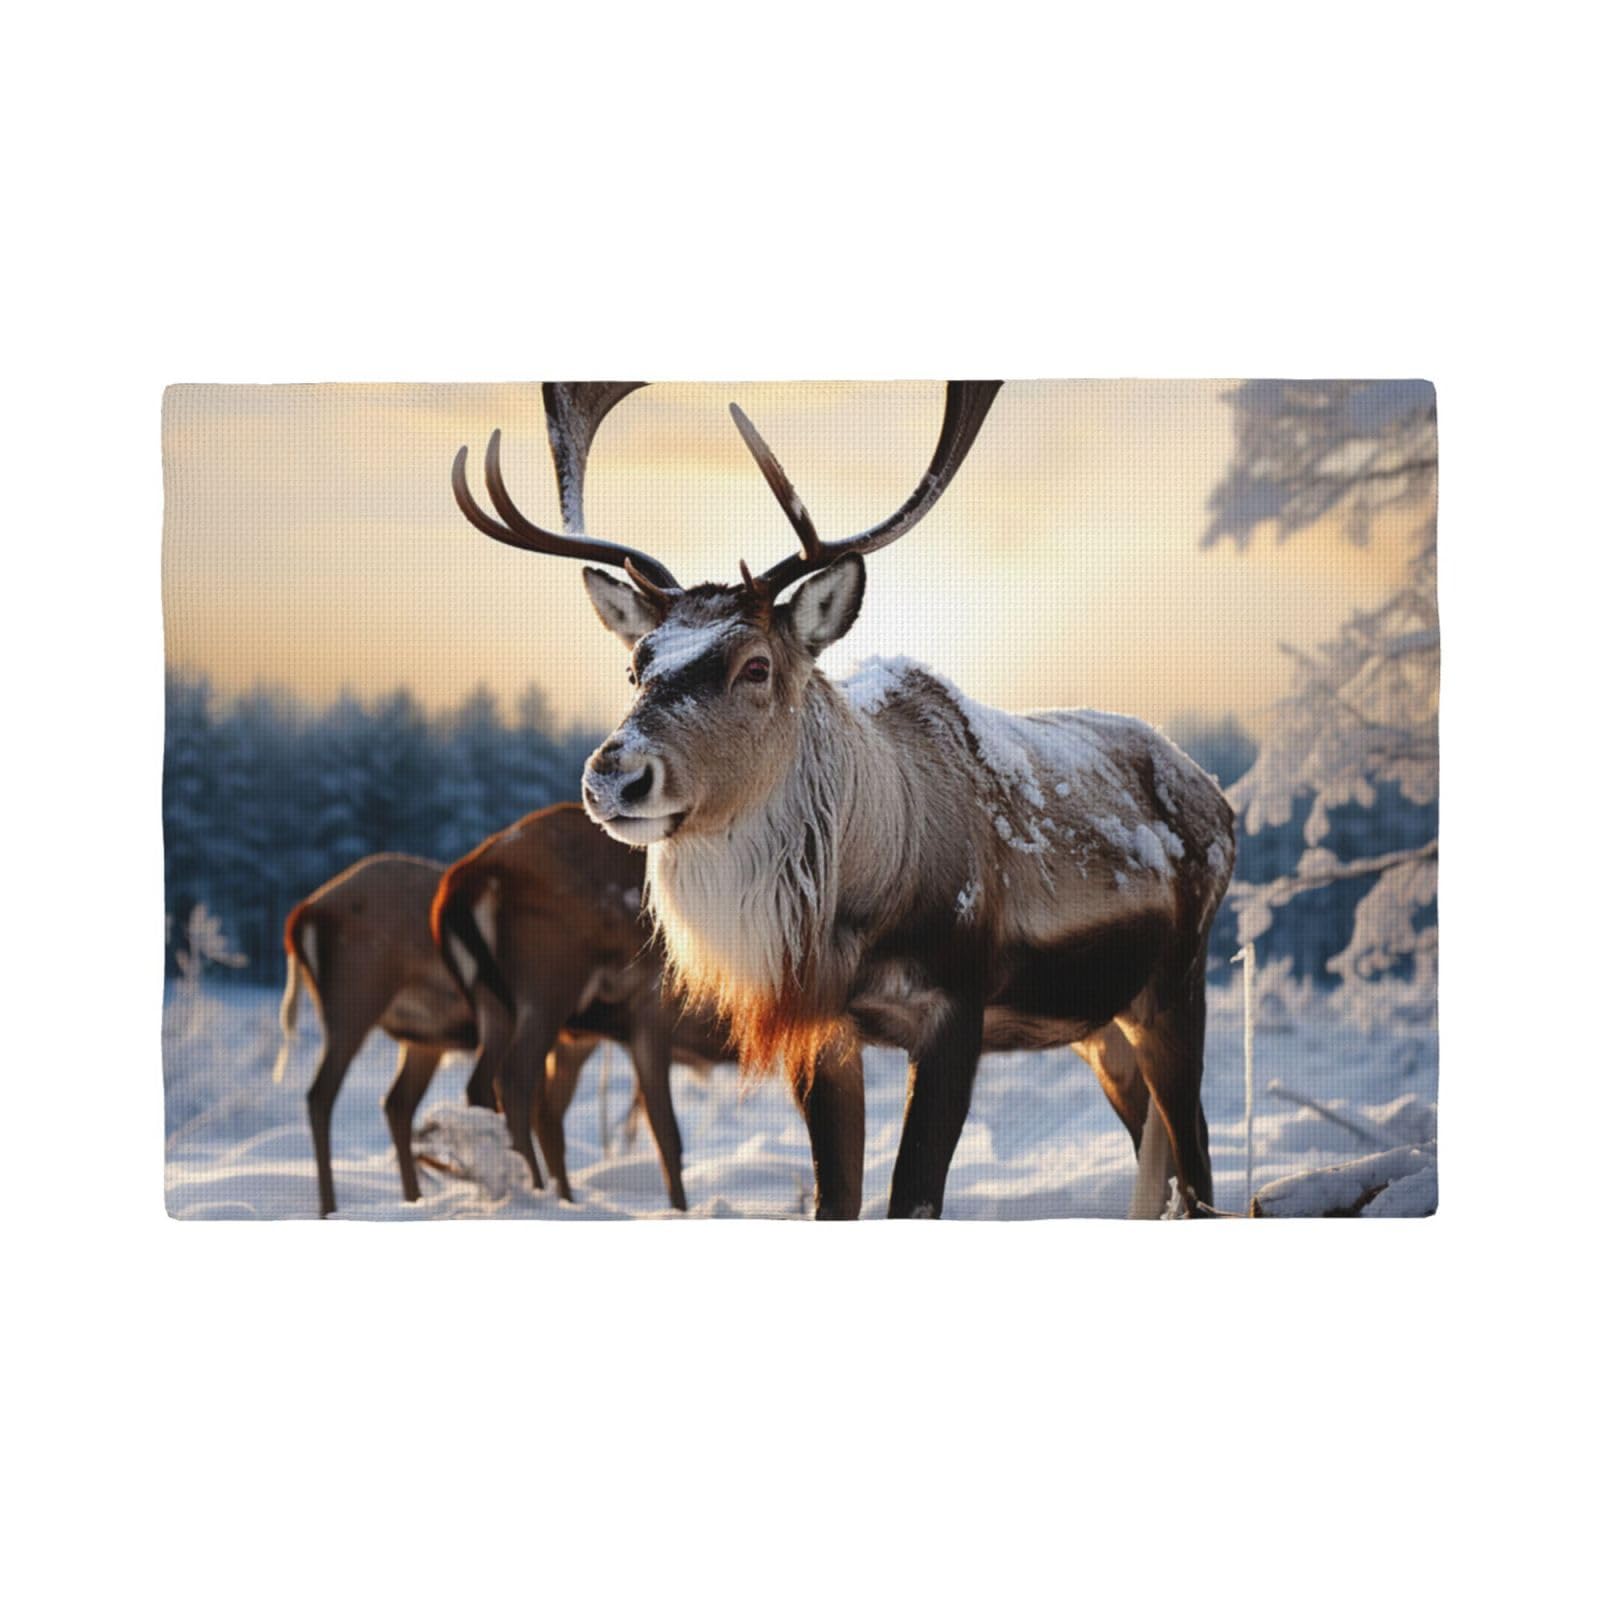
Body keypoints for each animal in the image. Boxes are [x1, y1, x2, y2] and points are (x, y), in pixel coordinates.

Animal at [451, 381, 1237, 1219]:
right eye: (636, 666)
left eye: (755, 665)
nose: (616, 776)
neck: (858, 912)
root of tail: (1218, 801)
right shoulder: (823, 1025)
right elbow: (837, 1197)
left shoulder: (956, 1003)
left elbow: (914, 1197)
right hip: (1099, 1020)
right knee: (1165, 1136)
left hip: (1178, 978)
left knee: (1195, 1151)